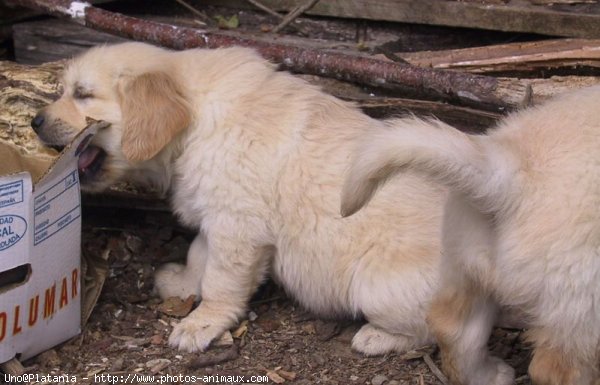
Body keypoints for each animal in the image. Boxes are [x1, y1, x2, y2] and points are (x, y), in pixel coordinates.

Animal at [32, 42, 446, 354]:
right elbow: (199, 254)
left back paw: (377, 337)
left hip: (376, 287)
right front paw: (182, 284)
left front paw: (201, 323)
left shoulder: (237, 227)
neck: (196, 121)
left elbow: (220, 280)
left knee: (436, 330)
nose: (35, 120)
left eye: (83, 94)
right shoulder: (215, 216)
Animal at [340, 87, 600, 384]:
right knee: (556, 369)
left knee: (454, 330)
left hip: (465, 264)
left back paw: (490, 376)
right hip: (581, 302)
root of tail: (509, 173)